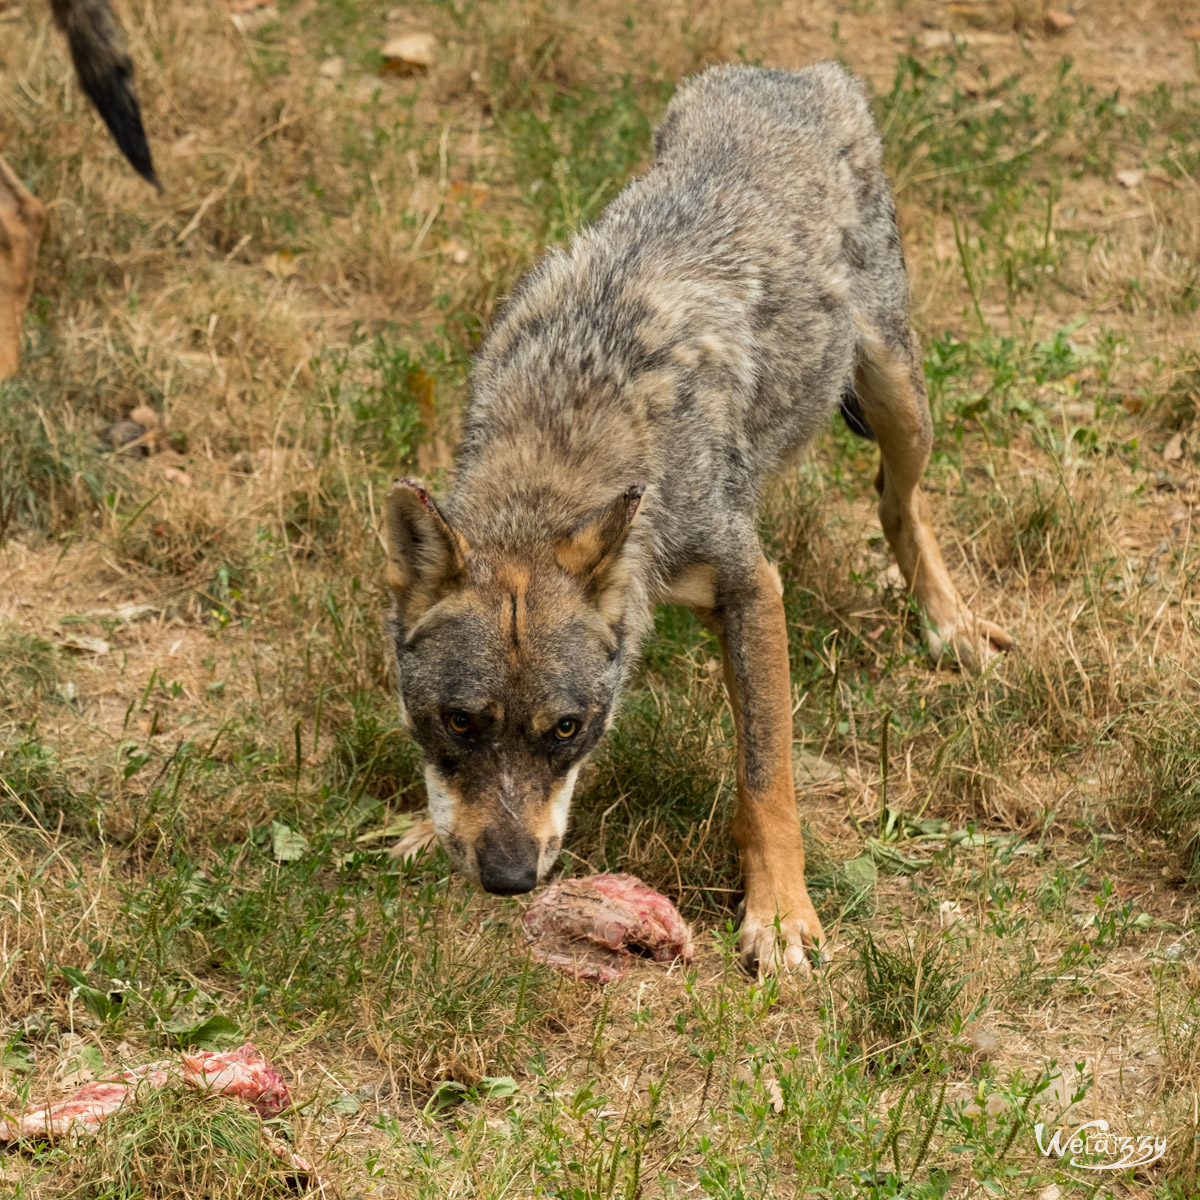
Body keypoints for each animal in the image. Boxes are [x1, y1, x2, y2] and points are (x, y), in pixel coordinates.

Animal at [386, 60, 1012, 974]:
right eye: (460, 722)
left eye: (567, 728)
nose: (507, 881)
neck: (571, 420)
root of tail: (798, 74)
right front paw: (413, 831)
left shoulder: (752, 587)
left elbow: (766, 778)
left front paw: (781, 919)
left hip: (900, 401)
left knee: (898, 505)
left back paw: (951, 628)